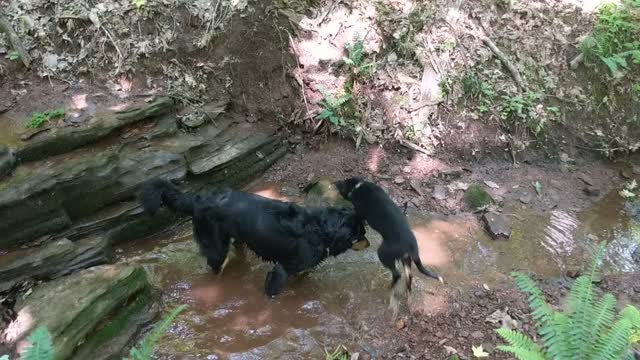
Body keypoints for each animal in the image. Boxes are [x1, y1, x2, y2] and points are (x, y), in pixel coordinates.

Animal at [140, 179, 370, 296]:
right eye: (361, 235)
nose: (369, 244)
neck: (321, 229)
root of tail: (199, 199)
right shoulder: (281, 270)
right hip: (216, 247)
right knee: (214, 267)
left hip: (239, 240)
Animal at [336, 176, 440, 318]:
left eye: (343, 184)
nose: (335, 182)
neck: (358, 186)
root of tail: (412, 248)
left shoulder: (359, 212)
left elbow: (354, 215)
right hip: (406, 261)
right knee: (408, 279)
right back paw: (406, 296)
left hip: (383, 253)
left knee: (397, 274)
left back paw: (390, 288)